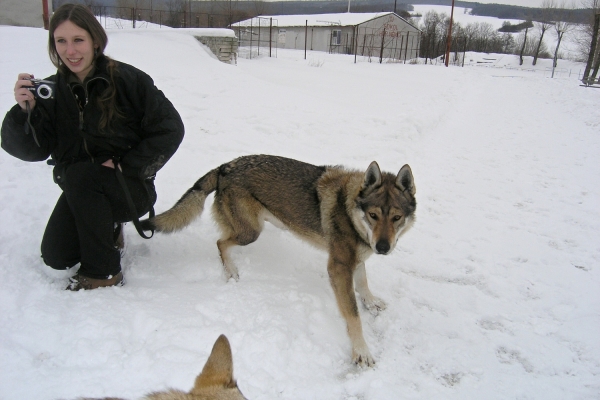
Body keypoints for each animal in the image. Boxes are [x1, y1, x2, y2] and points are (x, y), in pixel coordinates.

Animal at [144, 155, 418, 368]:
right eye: (373, 215)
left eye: (396, 218)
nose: (382, 248)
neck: (349, 210)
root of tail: (224, 167)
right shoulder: (338, 268)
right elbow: (353, 316)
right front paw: (361, 352)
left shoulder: (357, 259)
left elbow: (363, 284)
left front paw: (371, 303)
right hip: (250, 233)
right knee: (220, 243)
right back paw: (231, 272)